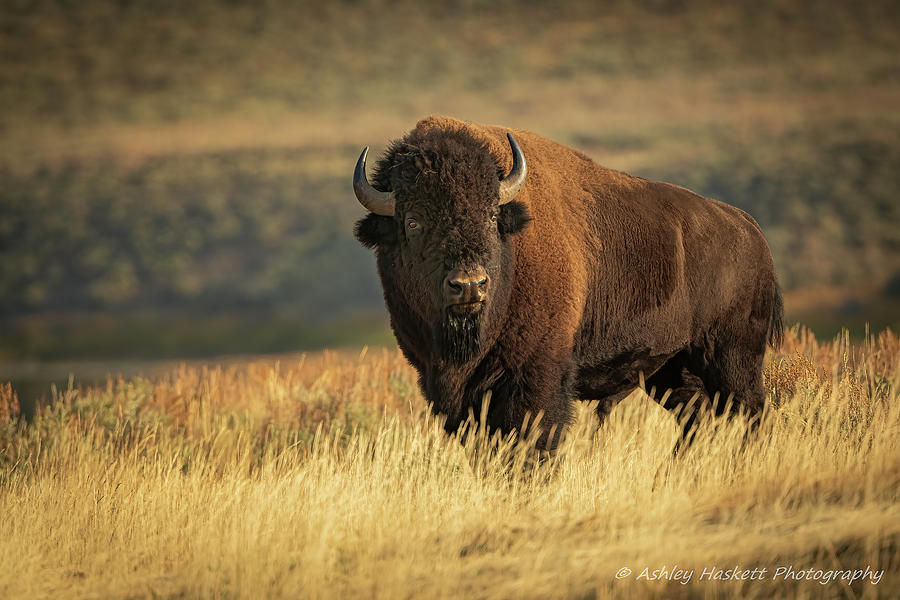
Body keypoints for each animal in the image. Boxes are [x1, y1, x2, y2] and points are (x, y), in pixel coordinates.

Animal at [352, 116, 780, 450]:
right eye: (413, 222)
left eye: (490, 216)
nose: (470, 285)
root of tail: (751, 229)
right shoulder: (451, 390)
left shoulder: (536, 377)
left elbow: (533, 441)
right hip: (673, 370)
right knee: (699, 421)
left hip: (733, 357)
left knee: (750, 412)